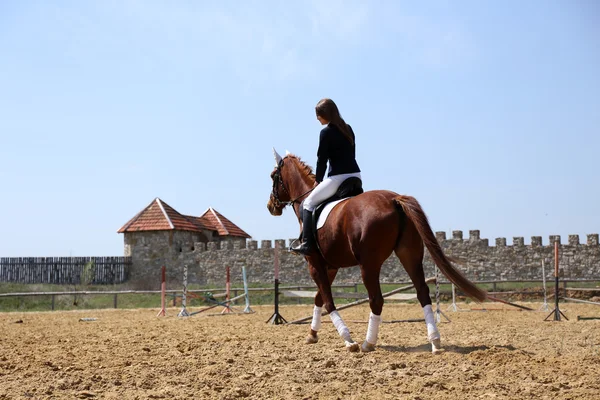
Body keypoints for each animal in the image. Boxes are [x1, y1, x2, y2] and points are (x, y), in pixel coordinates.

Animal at [268, 150, 488, 354]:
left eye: (273, 176)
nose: (271, 206)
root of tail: (394, 199)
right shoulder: (330, 267)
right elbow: (319, 298)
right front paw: (312, 334)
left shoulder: (314, 263)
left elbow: (328, 301)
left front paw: (348, 340)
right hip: (409, 256)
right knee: (422, 292)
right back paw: (435, 341)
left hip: (369, 265)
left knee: (376, 299)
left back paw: (368, 343)